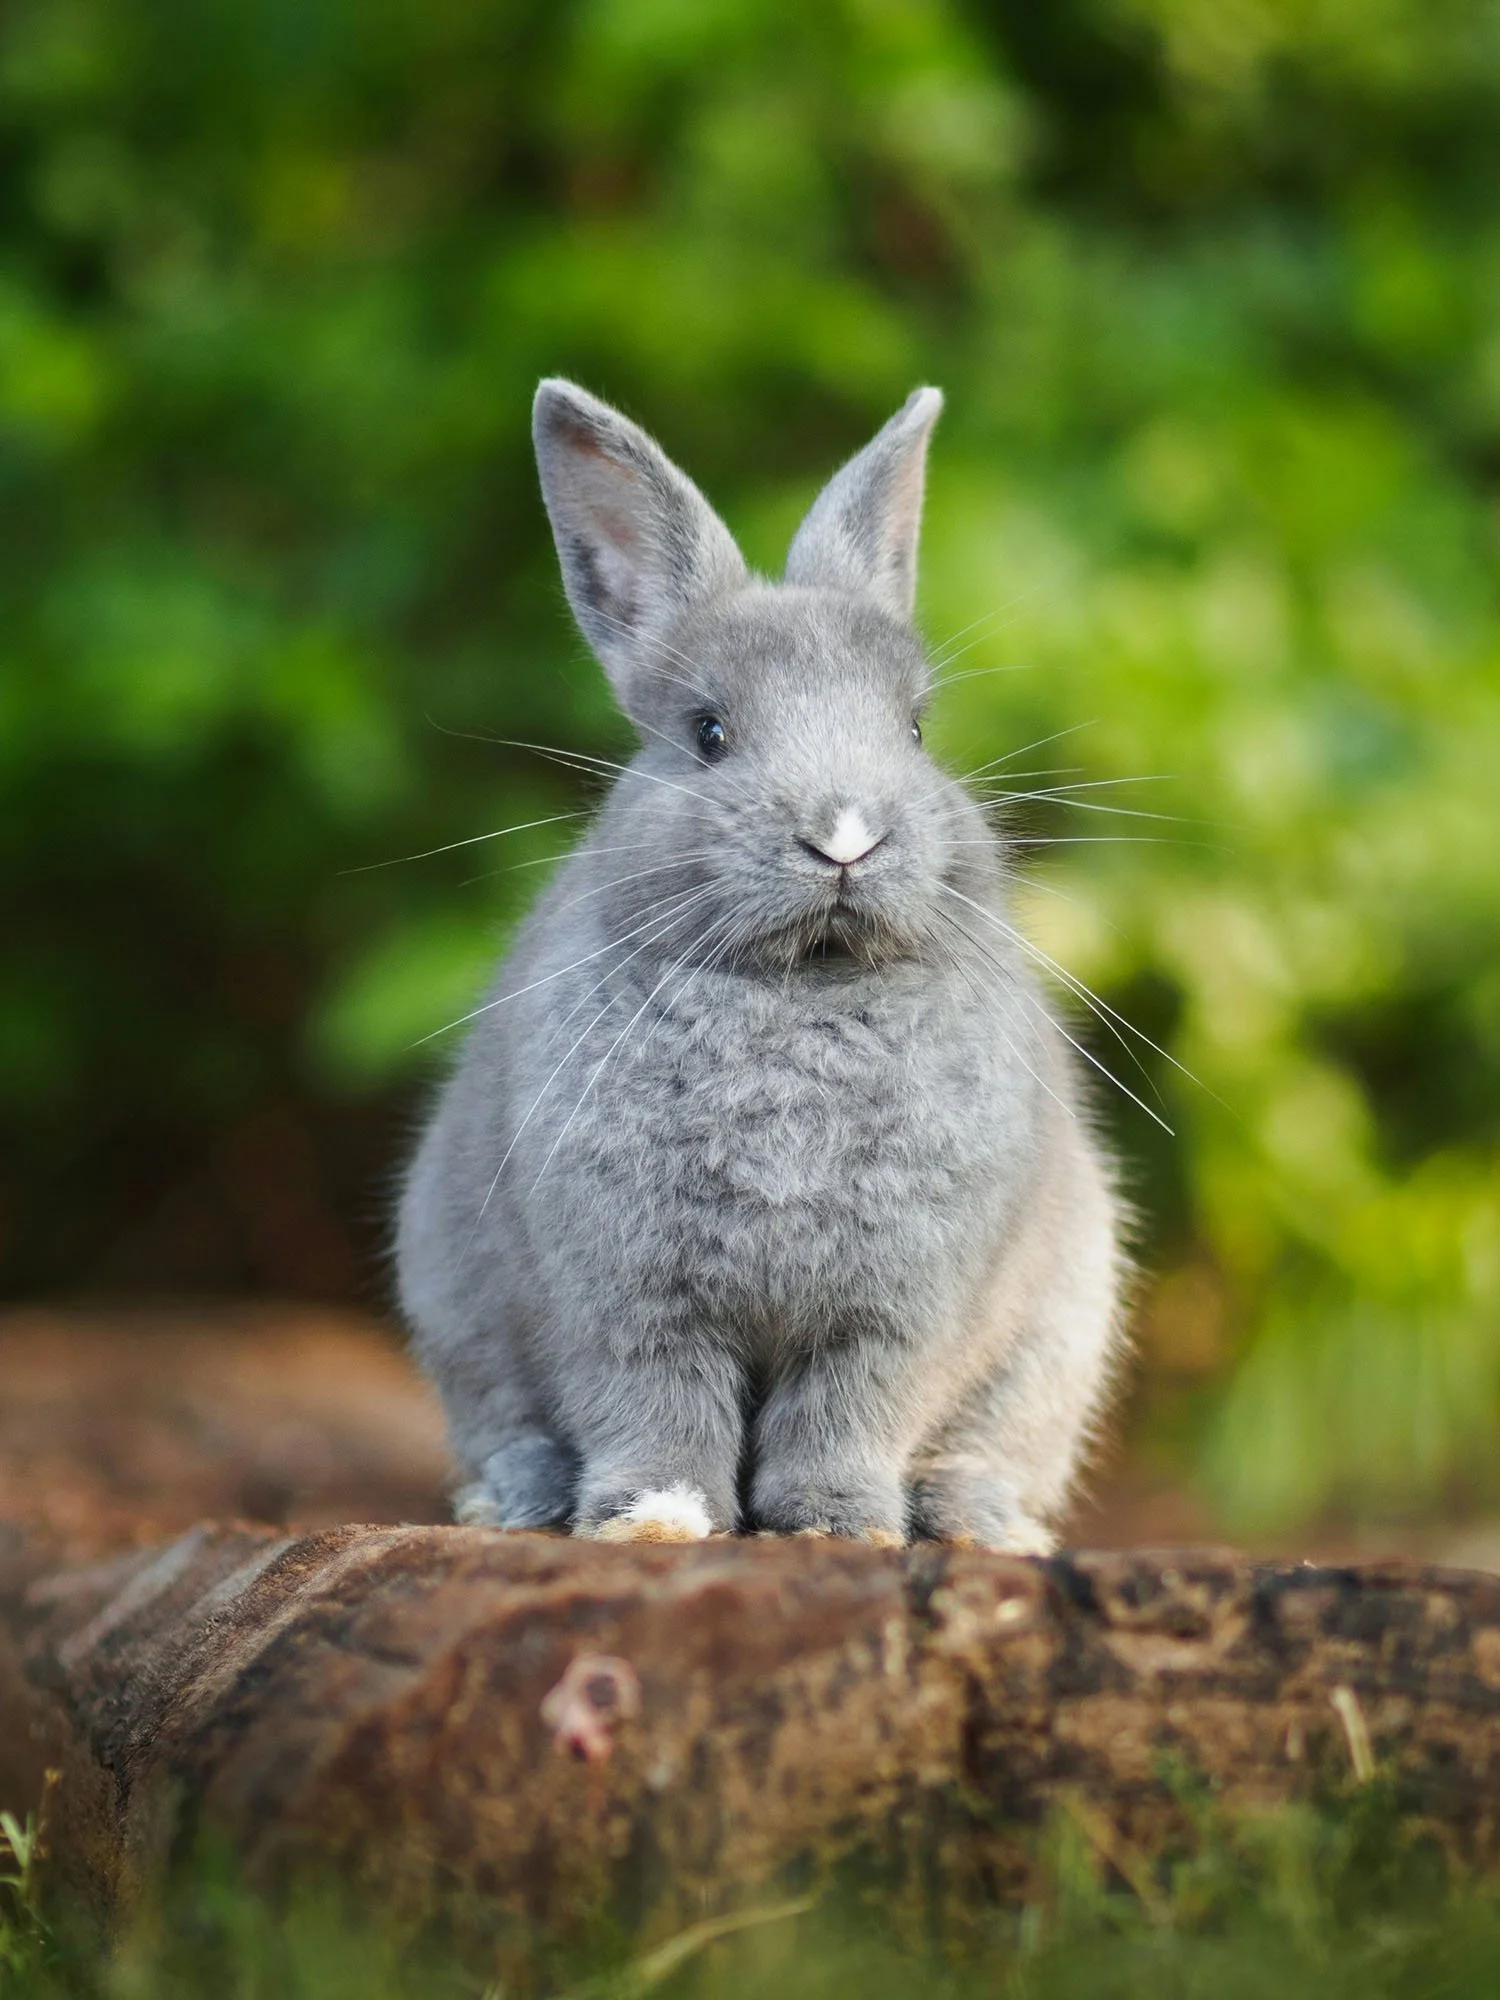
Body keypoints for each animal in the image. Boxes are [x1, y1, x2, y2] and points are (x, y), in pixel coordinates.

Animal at [396, 377, 1128, 1552]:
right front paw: (654, 1519)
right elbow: (655, 1407)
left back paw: (981, 1523)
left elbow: (847, 1411)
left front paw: (837, 1525)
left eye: (916, 729)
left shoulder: (895, 1314)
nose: (844, 835)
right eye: (709, 732)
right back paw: (513, 1503)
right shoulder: (627, 1302)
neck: (804, 987)